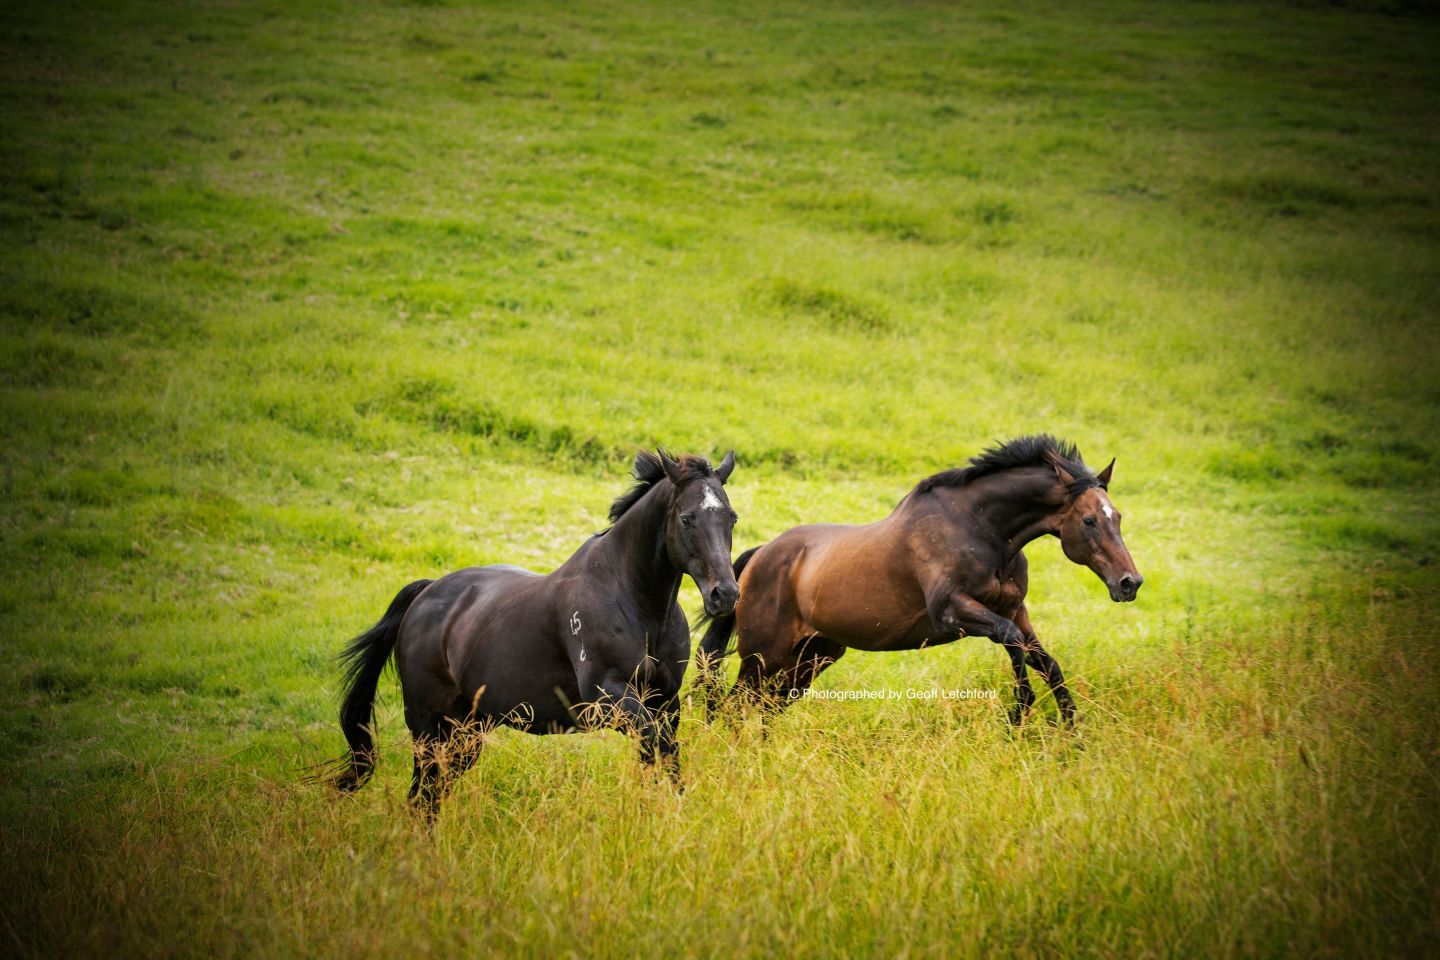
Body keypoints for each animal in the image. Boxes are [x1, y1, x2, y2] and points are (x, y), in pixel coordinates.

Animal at [326, 449, 740, 821]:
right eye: (686, 518)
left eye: (731, 518)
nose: (725, 594)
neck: (635, 601)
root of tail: (425, 595)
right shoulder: (609, 697)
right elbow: (663, 751)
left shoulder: (664, 702)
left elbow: (661, 759)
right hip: (429, 727)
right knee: (421, 798)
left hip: (467, 732)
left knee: (431, 797)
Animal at [695, 435, 1142, 725]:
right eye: (1089, 520)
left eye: (1117, 516)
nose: (1130, 583)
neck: (982, 529)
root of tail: (757, 558)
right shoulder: (953, 611)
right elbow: (1013, 641)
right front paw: (1020, 712)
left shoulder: (1015, 609)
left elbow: (1045, 662)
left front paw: (1070, 732)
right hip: (763, 656)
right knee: (736, 708)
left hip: (810, 658)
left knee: (763, 710)